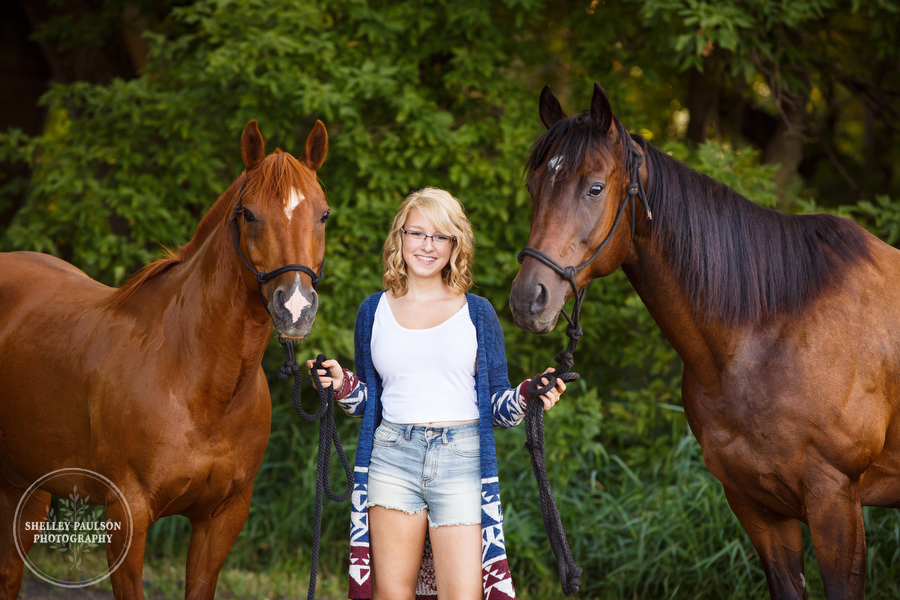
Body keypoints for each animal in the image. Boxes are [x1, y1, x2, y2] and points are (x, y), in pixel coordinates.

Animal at [0, 119, 330, 596]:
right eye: (249, 214)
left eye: (323, 215)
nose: (296, 308)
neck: (199, 384)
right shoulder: (127, 514)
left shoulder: (222, 518)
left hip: (26, 484)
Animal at [510, 84, 900, 600]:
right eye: (534, 188)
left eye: (594, 187)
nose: (527, 299)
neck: (766, 335)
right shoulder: (756, 505)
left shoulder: (836, 501)